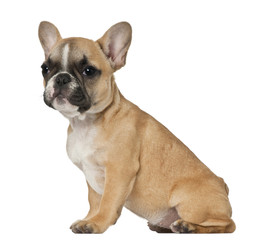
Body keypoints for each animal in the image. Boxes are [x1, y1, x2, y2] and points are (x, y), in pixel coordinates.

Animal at [38, 21, 235, 233]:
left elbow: (107, 202)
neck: (86, 122)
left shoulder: (119, 171)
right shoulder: (91, 176)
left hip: (190, 203)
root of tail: (223, 185)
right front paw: (90, 218)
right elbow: (95, 201)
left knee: (227, 225)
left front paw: (96, 223)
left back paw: (189, 227)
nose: (61, 78)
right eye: (45, 68)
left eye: (89, 71)